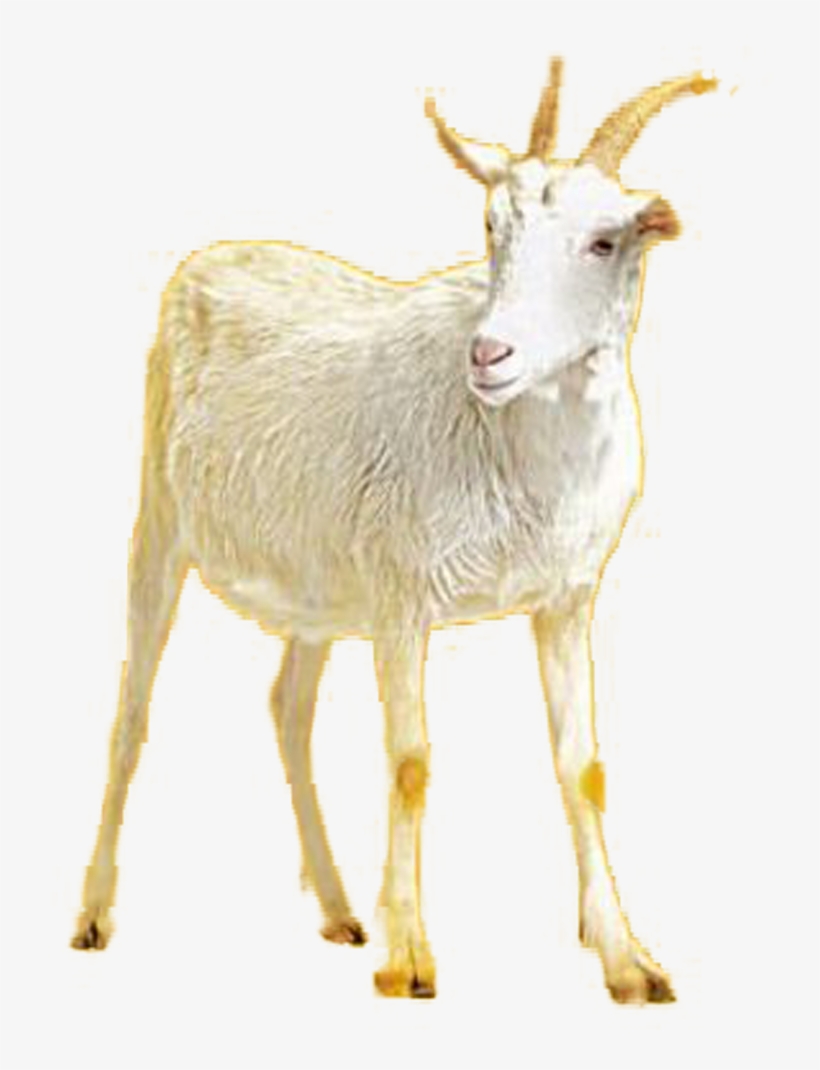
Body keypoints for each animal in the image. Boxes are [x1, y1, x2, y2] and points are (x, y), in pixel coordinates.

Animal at [71, 59, 717, 1002]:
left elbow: (582, 767)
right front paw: (410, 958)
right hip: (159, 521)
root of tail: (213, 254)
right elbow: (411, 759)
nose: (489, 356)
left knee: (287, 706)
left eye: (605, 241)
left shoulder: (565, 599)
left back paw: (342, 910)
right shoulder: (403, 598)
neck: (516, 450)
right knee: (131, 710)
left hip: (316, 587)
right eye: (492, 227)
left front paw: (628, 960)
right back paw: (93, 915)